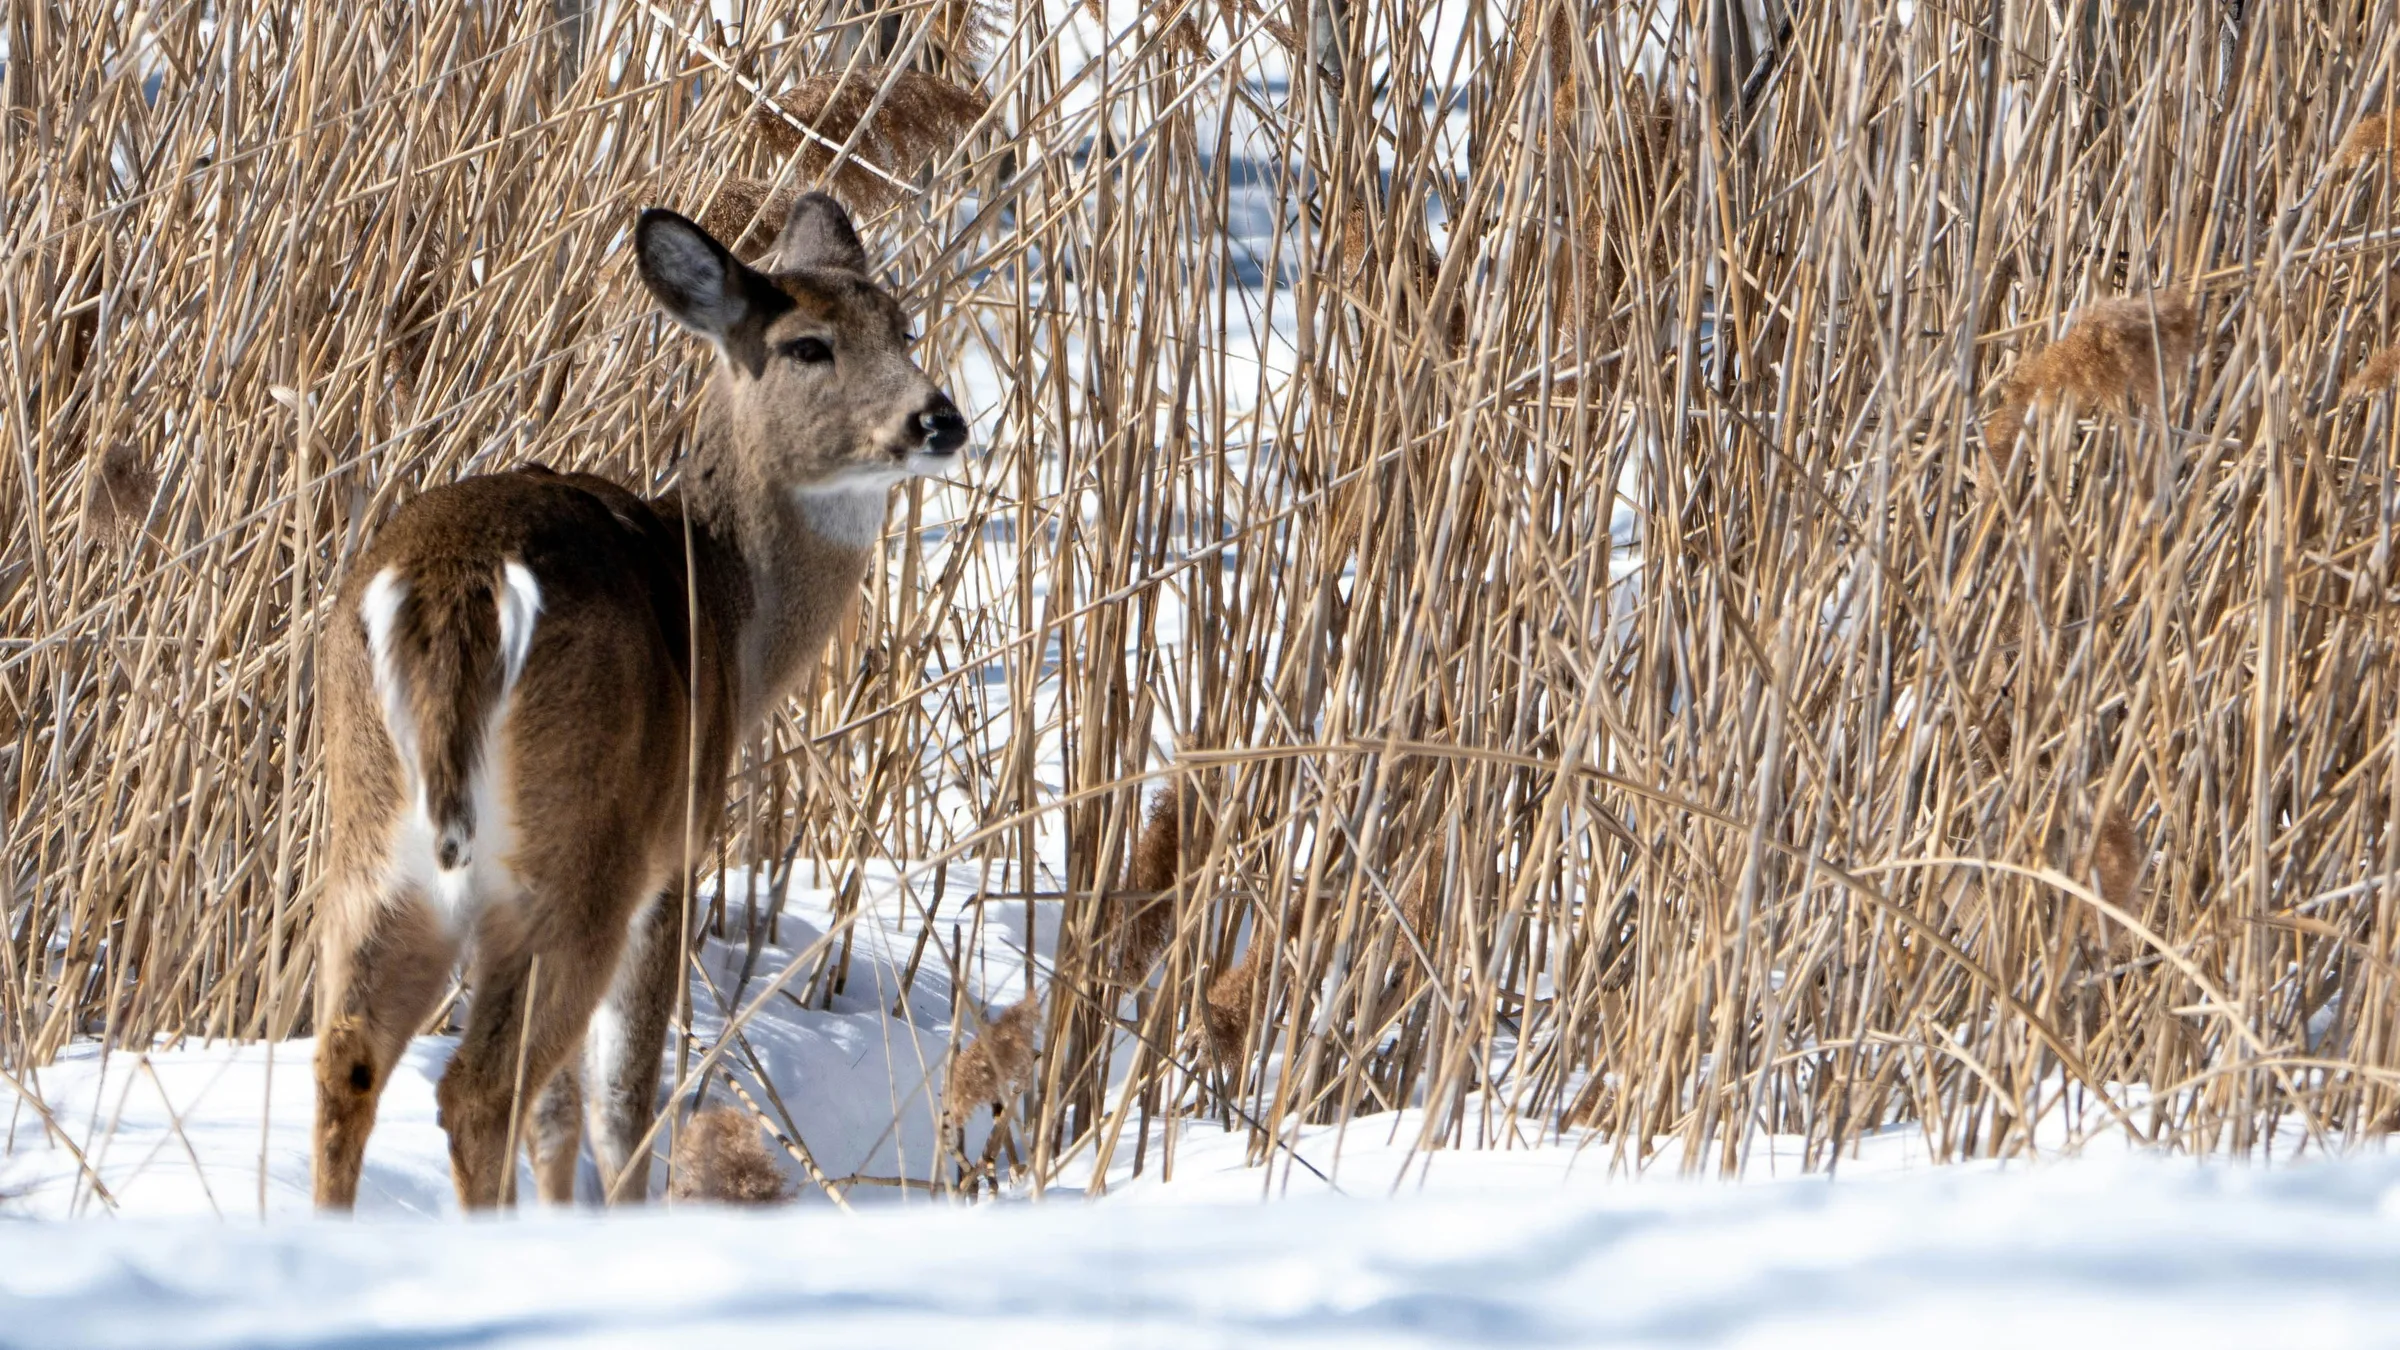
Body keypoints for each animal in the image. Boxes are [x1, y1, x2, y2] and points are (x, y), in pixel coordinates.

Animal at [310, 193, 967, 1210]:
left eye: (903, 327)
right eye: (807, 345)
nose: (939, 419)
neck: (727, 610)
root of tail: (455, 584)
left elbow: (561, 1113)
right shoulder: (676, 854)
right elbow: (619, 1105)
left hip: (372, 842)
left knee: (351, 1064)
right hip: (580, 849)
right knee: (483, 1089)